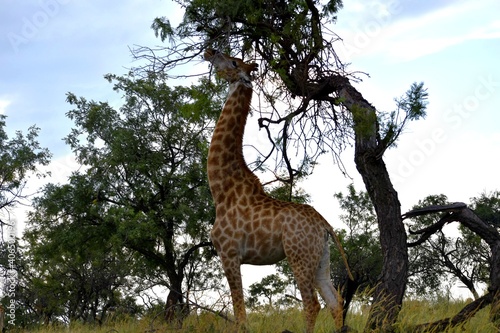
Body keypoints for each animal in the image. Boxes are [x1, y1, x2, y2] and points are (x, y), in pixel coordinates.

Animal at [203, 47, 352, 332]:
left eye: (234, 62)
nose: (210, 51)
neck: (222, 190)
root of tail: (325, 225)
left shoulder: (229, 254)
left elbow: (240, 315)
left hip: (298, 256)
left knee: (312, 304)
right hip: (321, 259)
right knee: (335, 300)